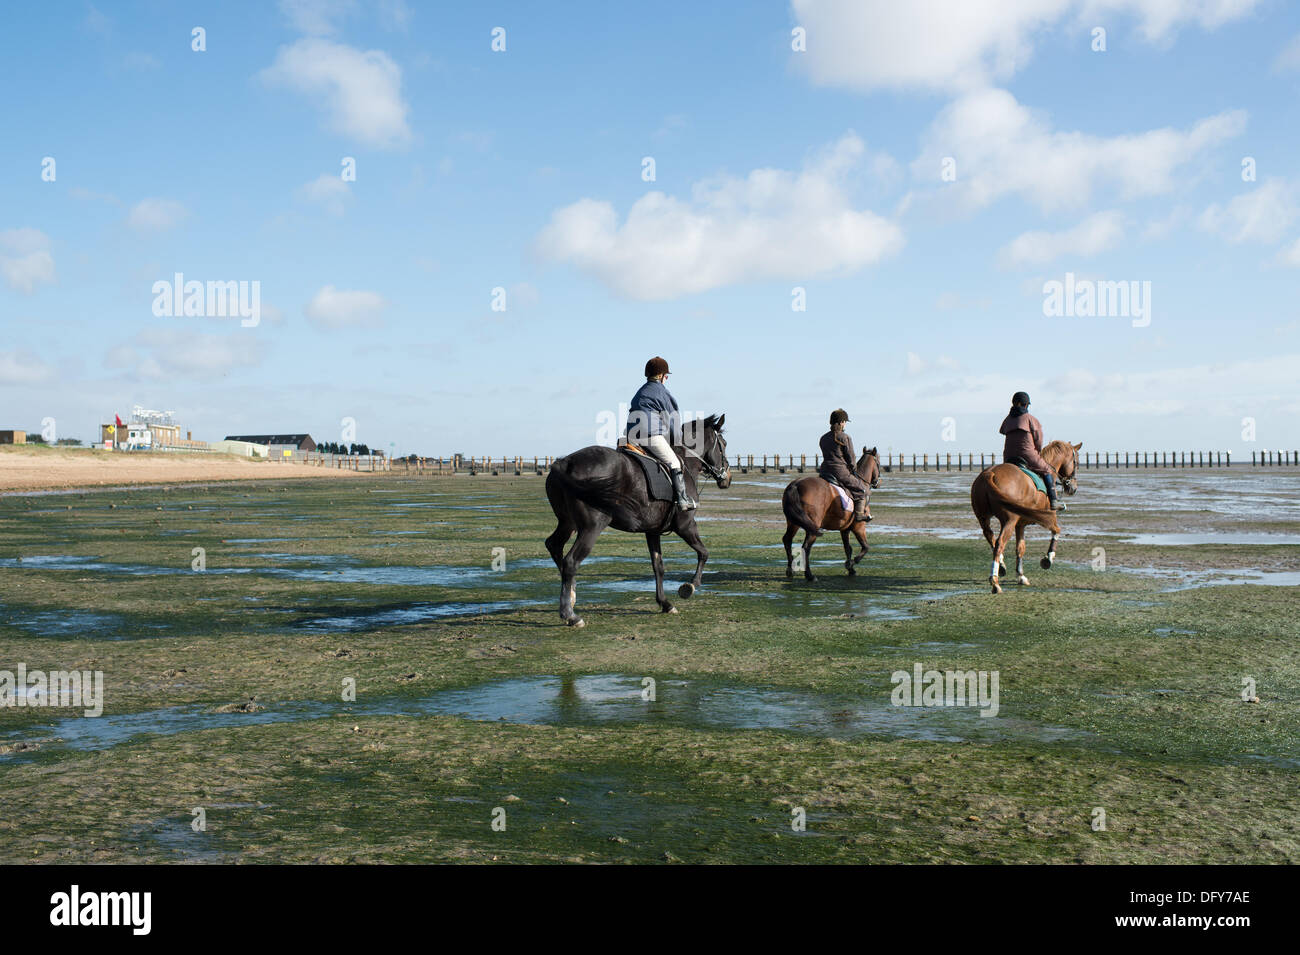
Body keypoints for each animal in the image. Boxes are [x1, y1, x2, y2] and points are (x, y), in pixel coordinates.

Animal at [543, 415, 733, 628]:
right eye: (723, 444)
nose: (727, 478)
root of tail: (565, 462)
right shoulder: (686, 525)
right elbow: (704, 553)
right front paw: (690, 586)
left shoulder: (653, 531)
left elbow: (658, 566)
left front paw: (665, 603)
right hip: (591, 528)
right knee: (570, 561)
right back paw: (570, 614)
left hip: (568, 523)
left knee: (554, 545)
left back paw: (572, 594)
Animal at [780, 446, 883, 582]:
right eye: (878, 463)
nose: (878, 482)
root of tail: (796, 485)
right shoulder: (858, 526)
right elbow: (866, 547)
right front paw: (851, 563)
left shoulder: (845, 529)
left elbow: (848, 548)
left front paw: (851, 569)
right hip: (813, 527)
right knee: (806, 547)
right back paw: (809, 575)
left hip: (793, 523)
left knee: (787, 540)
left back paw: (790, 570)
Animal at [972, 444, 1081, 595]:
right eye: (1076, 462)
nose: (1073, 488)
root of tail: (990, 474)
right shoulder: (1050, 517)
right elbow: (1057, 531)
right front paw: (1048, 559)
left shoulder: (1020, 525)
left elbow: (1020, 548)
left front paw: (1020, 575)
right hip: (1009, 521)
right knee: (999, 544)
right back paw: (995, 582)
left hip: (984, 519)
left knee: (991, 540)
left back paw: (1001, 567)